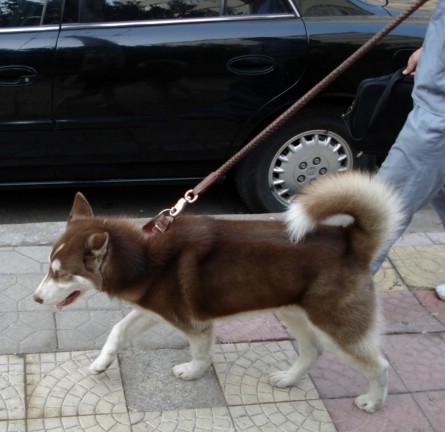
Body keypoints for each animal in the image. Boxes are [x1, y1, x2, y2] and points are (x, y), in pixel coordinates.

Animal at [33, 171, 403, 413]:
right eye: (49, 266)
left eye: (61, 273)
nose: (36, 298)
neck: (144, 257)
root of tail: (349, 241)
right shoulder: (152, 310)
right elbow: (117, 330)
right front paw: (101, 363)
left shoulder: (193, 323)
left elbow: (200, 351)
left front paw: (192, 372)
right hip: (292, 312)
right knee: (313, 351)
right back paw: (288, 379)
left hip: (337, 327)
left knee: (380, 365)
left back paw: (374, 400)